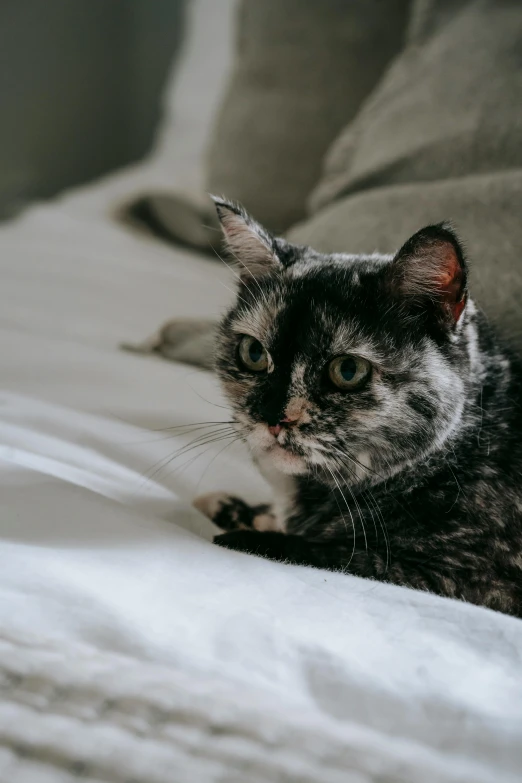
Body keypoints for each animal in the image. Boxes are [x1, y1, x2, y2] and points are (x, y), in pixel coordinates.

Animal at [193, 198, 520, 620]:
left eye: (347, 371)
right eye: (252, 353)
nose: (273, 418)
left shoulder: (472, 582)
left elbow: (330, 554)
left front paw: (244, 532)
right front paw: (234, 506)